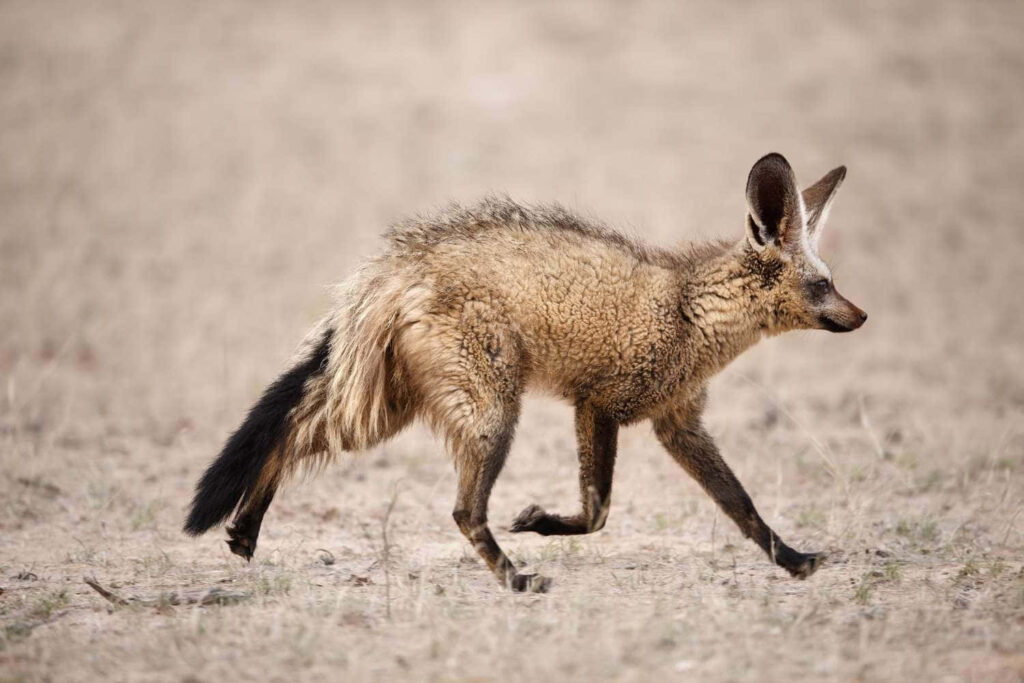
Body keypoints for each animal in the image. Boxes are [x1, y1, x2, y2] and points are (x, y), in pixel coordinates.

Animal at [184, 152, 866, 592]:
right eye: (823, 285)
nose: (862, 316)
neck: (688, 311)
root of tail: (395, 270)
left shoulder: (677, 424)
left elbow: (743, 506)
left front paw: (793, 559)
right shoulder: (599, 405)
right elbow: (598, 510)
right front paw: (538, 523)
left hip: (394, 410)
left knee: (299, 427)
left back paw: (245, 530)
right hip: (488, 415)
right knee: (460, 510)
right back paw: (513, 578)